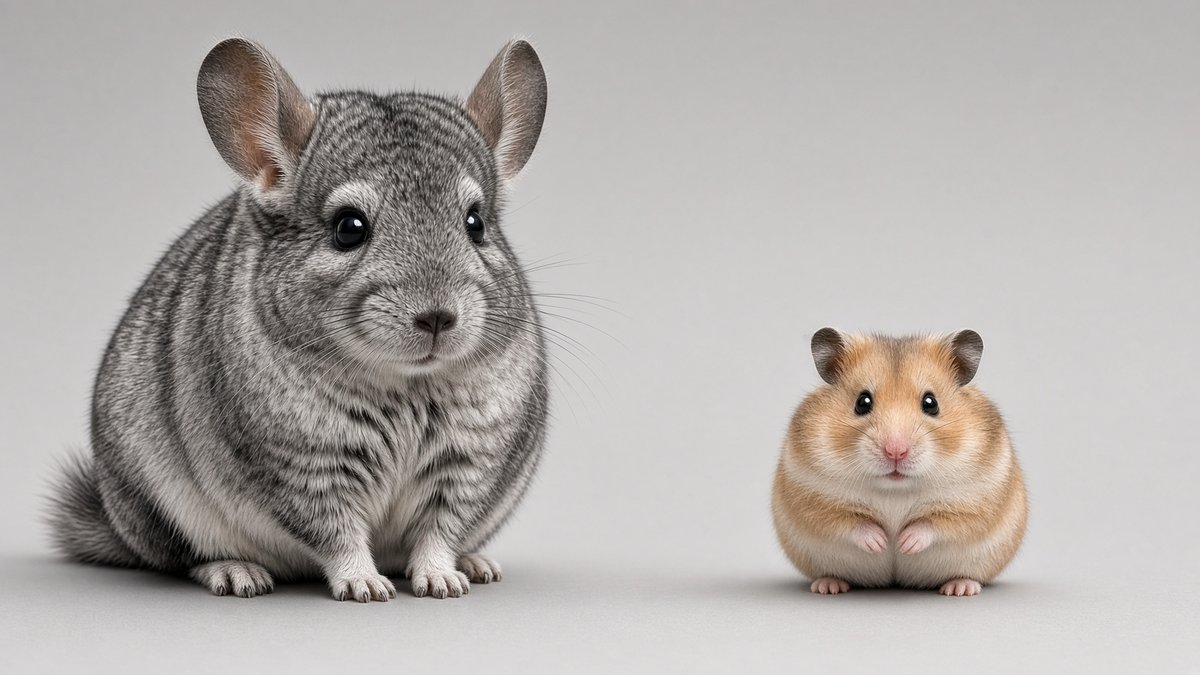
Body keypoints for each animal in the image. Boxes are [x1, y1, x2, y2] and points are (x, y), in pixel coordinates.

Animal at [47, 37, 551, 602]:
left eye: (476, 223)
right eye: (349, 227)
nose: (438, 317)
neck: (405, 385)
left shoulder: (468, 464)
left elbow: (439, 530)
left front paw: (443, 579)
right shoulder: (306, 468)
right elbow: (338, 533)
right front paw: (365, 586)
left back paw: (476, 563)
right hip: (157, 504)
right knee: (181, 558)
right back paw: (235, 572)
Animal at [771, 328, 1027, 596]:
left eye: (931, 403)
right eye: (862, 402)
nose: (895, 452)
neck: (895, 490)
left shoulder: (976, 500)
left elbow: (935, 523)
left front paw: (904, 543)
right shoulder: (812, 497)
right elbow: (849, 521)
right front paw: (882, 542)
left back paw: (960, 588)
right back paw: (828, 586)